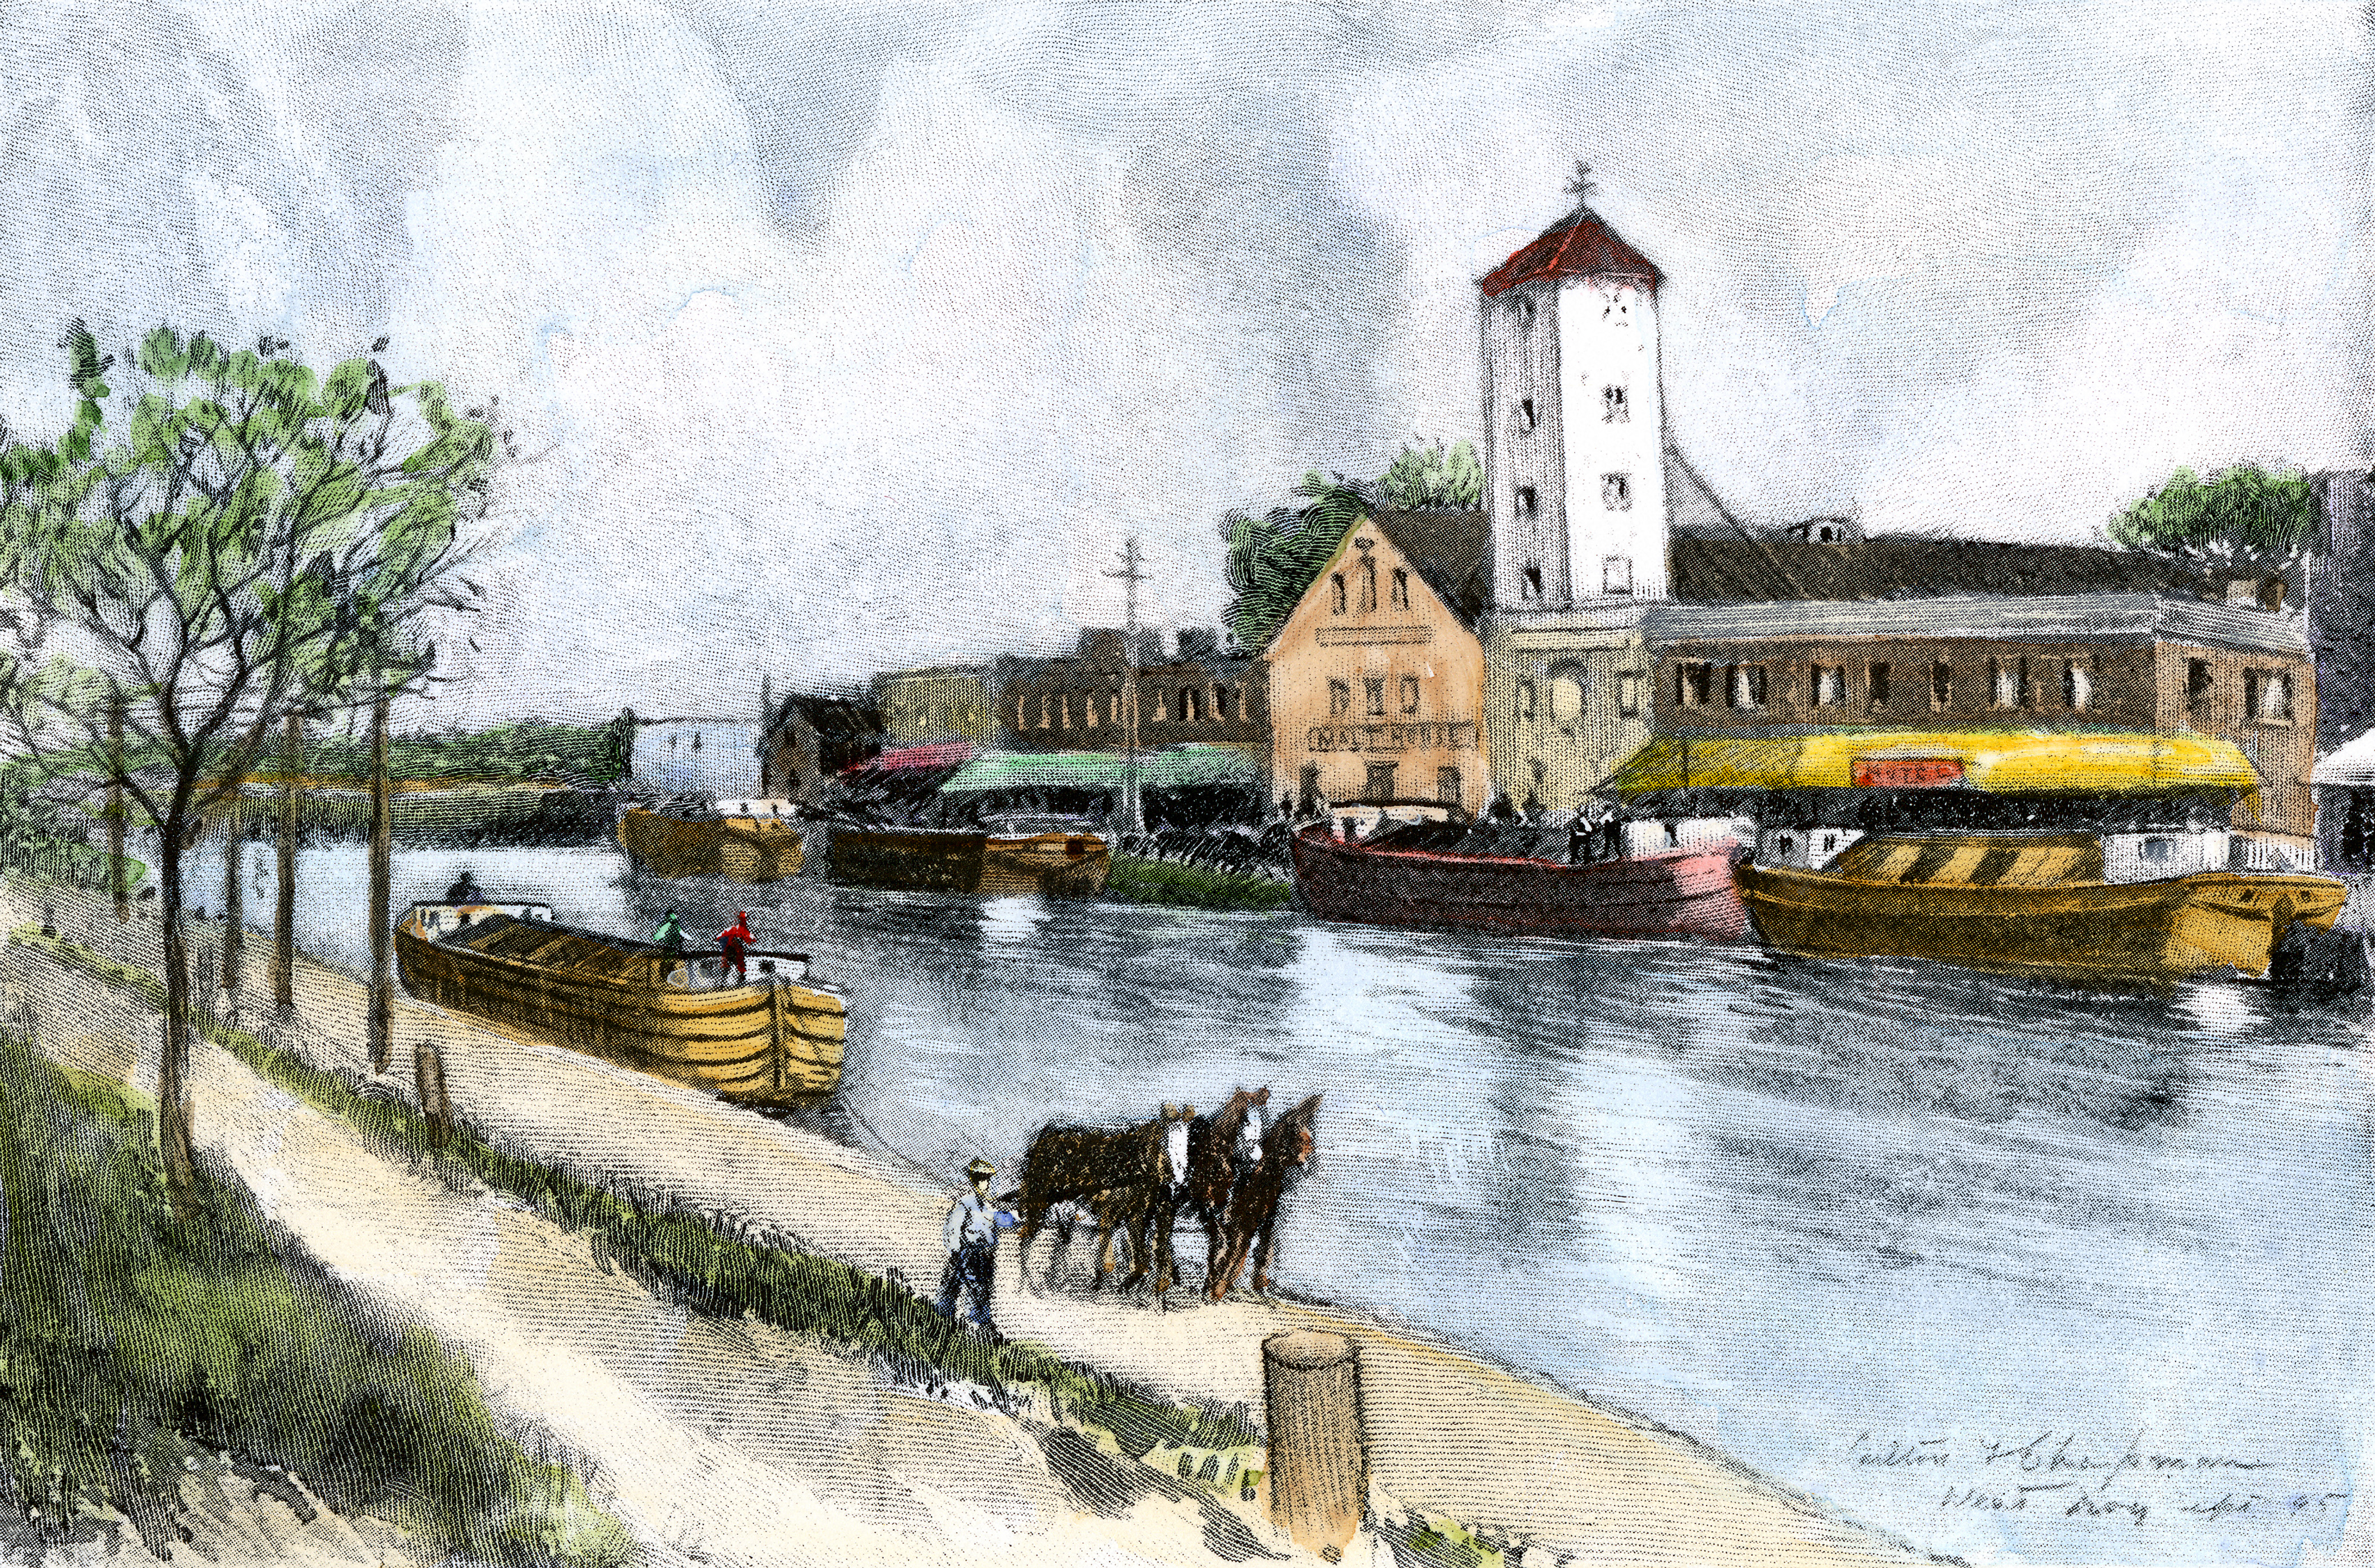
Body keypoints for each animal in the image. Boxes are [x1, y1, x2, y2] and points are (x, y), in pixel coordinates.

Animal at [1206, 1088, 1320, 1301]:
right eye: (1297, 1135)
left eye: (1309, 1137)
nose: (1307, 1163)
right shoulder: (1242, 1222)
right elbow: (1235, 1253)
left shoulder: (1262, 1221)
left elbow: (1258, 1251)